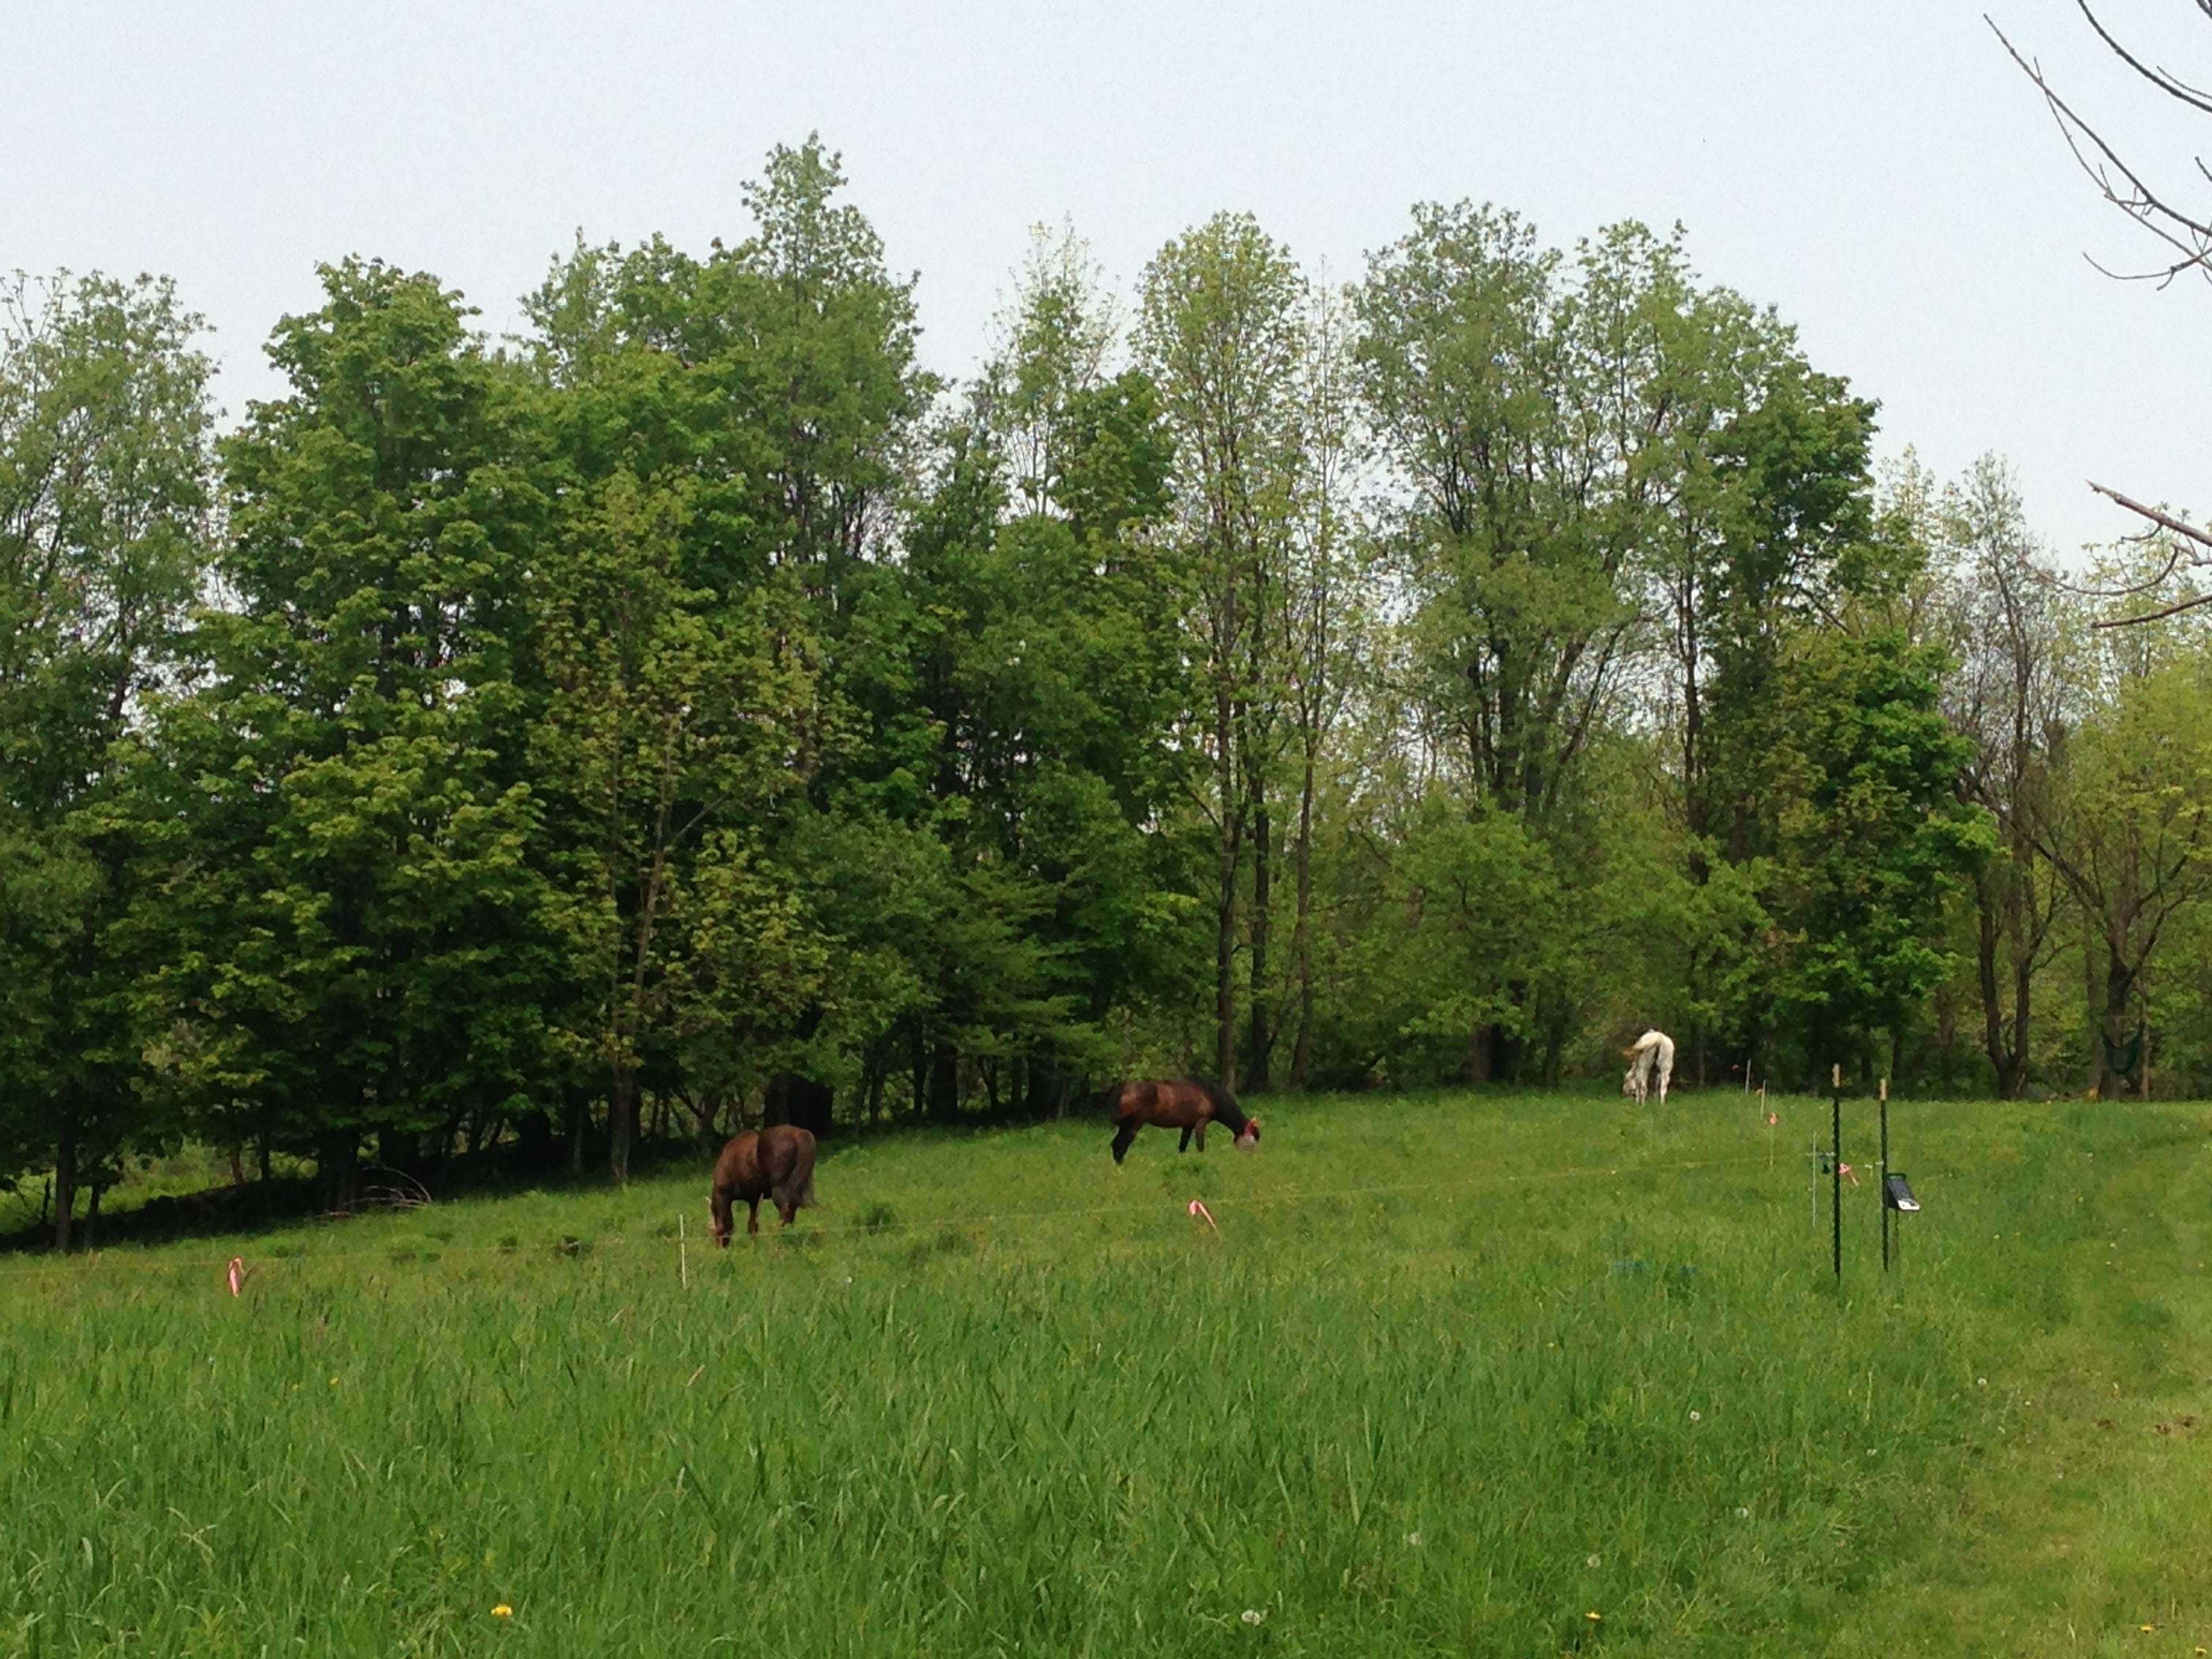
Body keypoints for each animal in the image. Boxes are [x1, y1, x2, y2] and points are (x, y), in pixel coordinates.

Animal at [708, 1124, 817, 1245]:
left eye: (716, 1233)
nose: (720, 1246)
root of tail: (801, 1135)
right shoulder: (754, 1198)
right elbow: (752, 1224)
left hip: (779, 1188)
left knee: (786, 1213)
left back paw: (777, 1237)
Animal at [1106, 1078, 1259, 1164]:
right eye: (1251, 1143)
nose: (1251, 1160)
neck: (1209, 1094)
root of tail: (1122, 1088)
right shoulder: (1201, 1122)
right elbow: (1200, 1147)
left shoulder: (1188, 1125)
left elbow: (1182, 1148)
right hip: (1134, 1124)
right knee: (1121, 1145)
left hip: (1125, 1126)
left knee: (1116, 1145)